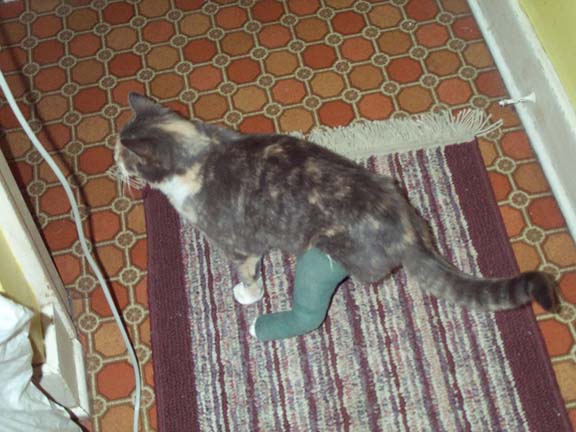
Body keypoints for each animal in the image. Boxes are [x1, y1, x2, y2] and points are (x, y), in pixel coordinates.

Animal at [114, 92, 559, 315]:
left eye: (124, 155)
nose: (113, 164)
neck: (200, 155)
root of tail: (408, 230)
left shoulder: (237, 243)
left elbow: (245, 270)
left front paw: (247, 294)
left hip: (333, 243)